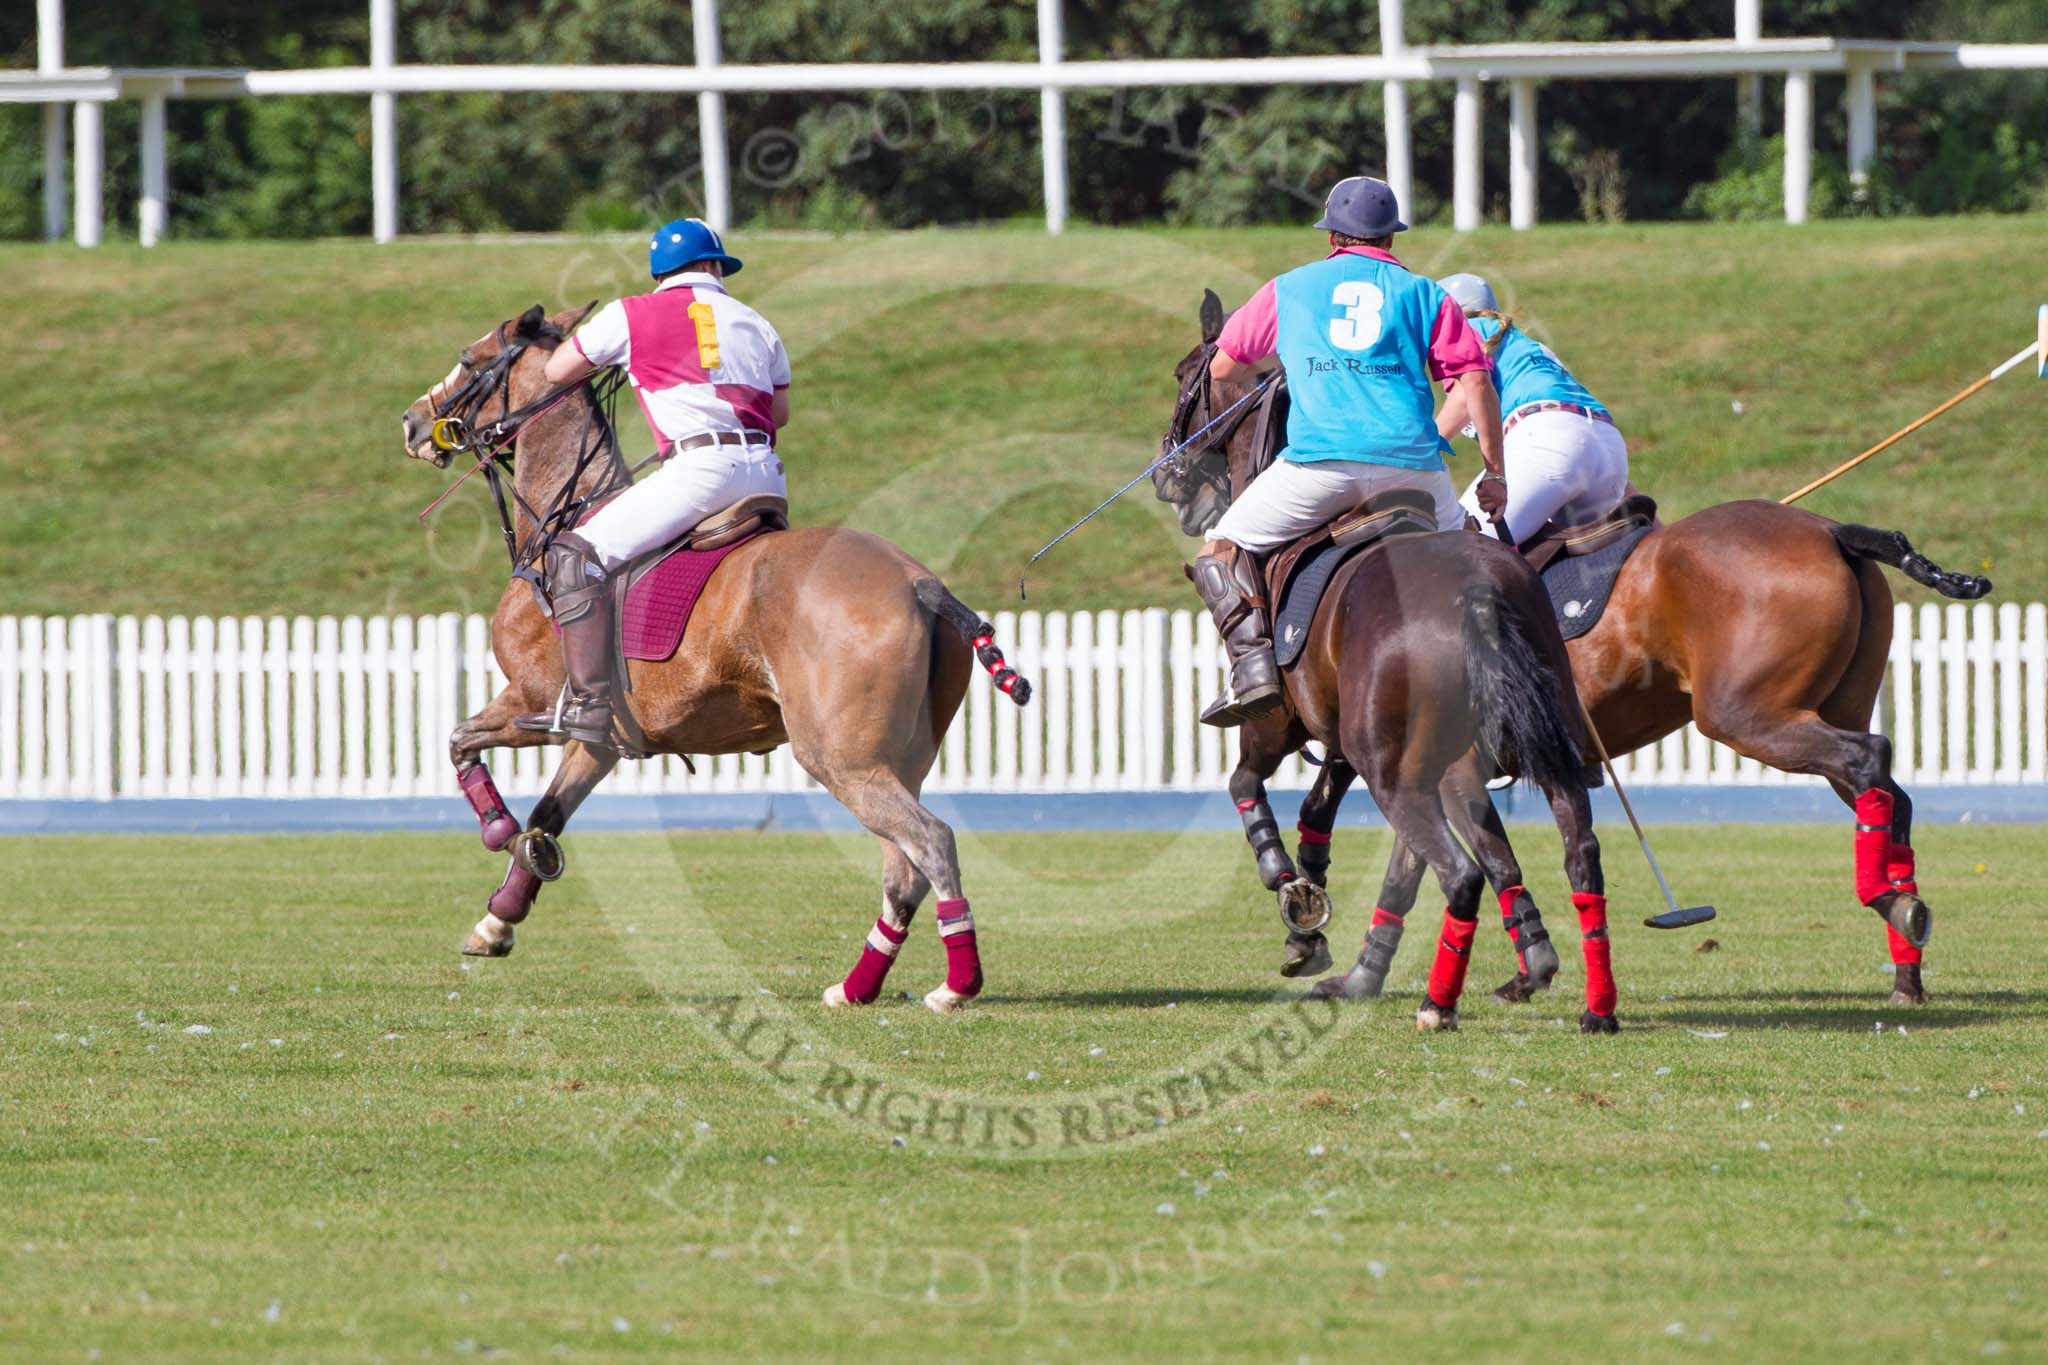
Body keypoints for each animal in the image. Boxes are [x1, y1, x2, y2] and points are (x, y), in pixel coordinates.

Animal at [393, 309, 1032, 1015]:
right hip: (899, 758)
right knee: (902, 867)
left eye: (469, 358)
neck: (566, 512)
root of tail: (921, 582)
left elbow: (460, 743)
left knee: (931, 841)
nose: (414, 422)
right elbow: (549, 814)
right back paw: (856, 986)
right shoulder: (604, 736)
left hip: (841, 756)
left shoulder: (534, 701)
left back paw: (955, 985)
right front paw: (500, 916)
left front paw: (498, 832)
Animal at [1163, 290, 1990, 1015]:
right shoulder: (1406, 749)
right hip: (1828, 700)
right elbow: (1396, 855)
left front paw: (1301, 908)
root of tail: (1833, 531)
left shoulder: (1293, 723)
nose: (1173, 480)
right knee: (1886, 786)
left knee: (1868, 760)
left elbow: (1261, 786)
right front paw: (1348, 952)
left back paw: (1892, 906)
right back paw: (1906, 958)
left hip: (1745, 713)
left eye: (1183, 375)